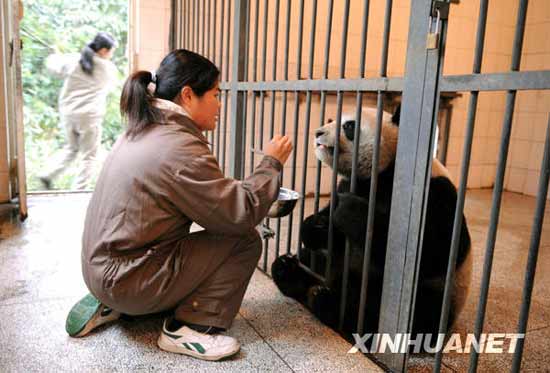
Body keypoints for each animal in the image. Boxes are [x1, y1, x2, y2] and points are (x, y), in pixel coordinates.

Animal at [272, 106, 474, 344]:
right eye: (331, 119)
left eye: (349, 126)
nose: (318, 132)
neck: (384, 172)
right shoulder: (349, 184)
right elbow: (329, 230)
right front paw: (314, 227)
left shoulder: (433, 194)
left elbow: (432, 250)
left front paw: (350, 211)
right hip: (331, 263)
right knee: (309, 260)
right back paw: (289, 271)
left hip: (434, 294)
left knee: (409, 313)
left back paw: (330, 304)